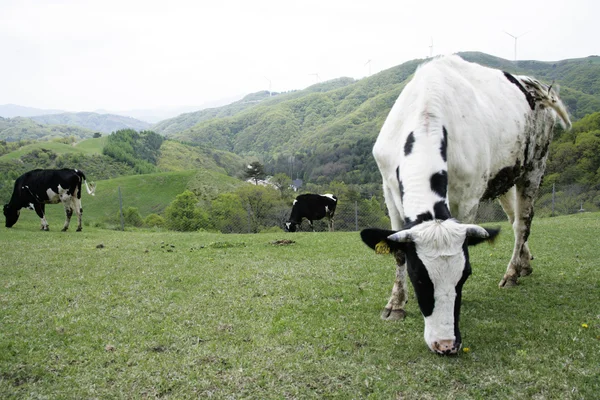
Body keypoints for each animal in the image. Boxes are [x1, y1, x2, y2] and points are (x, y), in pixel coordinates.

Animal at [358, 54, 568, 354]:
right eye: (418, 276)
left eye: (464, 275)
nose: (446, 344)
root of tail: (531, 83)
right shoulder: (388, 189)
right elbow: (397, 251)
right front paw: (395, 304)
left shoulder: (469, 197)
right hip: (505, 178)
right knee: (513, 217)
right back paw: (524, 264)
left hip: (534, 166)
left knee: (522, 224)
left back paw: (512, 273)